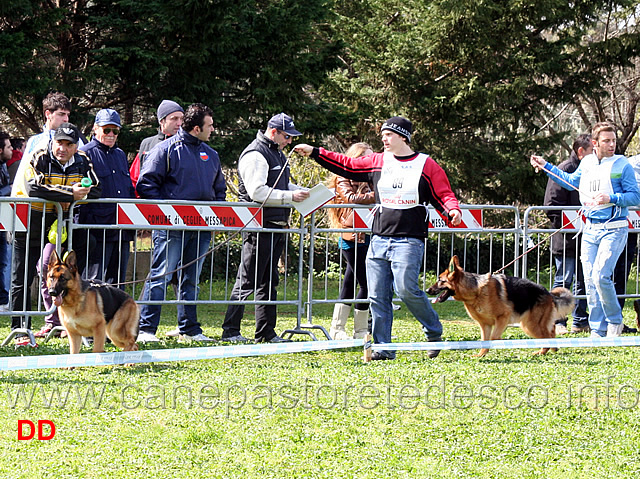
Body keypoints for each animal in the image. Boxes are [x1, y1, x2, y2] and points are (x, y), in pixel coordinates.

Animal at [428, 258, 572, 356]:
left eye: (440, 280)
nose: (428, 290)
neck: (476, 291)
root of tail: (548, 293)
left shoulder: (503, 317)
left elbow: (493, 337)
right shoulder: (485, 325)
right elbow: (485, 340)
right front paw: (481, 355)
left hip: (530, 325)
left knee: (547, 336)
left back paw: (542, 351)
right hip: (533, 324)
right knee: (551, 330)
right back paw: (552, 348)